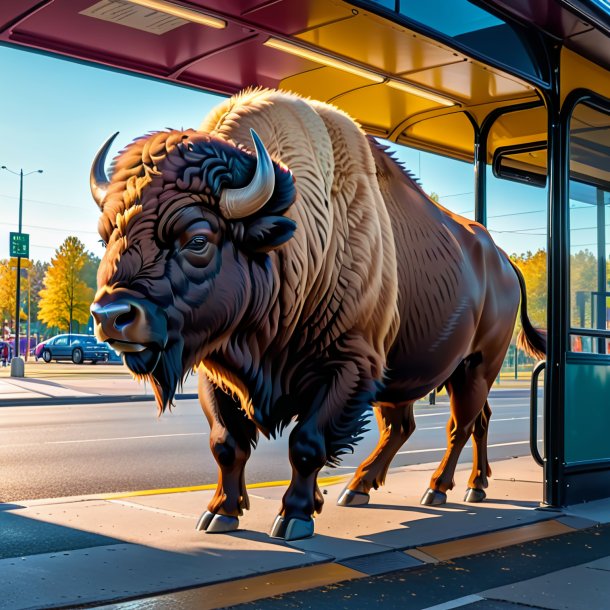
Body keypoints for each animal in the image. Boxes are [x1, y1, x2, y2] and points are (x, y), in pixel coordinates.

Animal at [89, 86, 540, 536]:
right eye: (105, 236)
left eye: (198, 239)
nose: (112, 316)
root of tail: (501, 258)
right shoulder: (217, 370)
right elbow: (226, 442)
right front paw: (221, 512)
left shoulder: (349, 366)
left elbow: (306, 444)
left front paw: (295, 516)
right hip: (411, 372)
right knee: (417, 424)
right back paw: (367, 487)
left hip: (476, 366)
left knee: (460, 425)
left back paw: (444, 488)